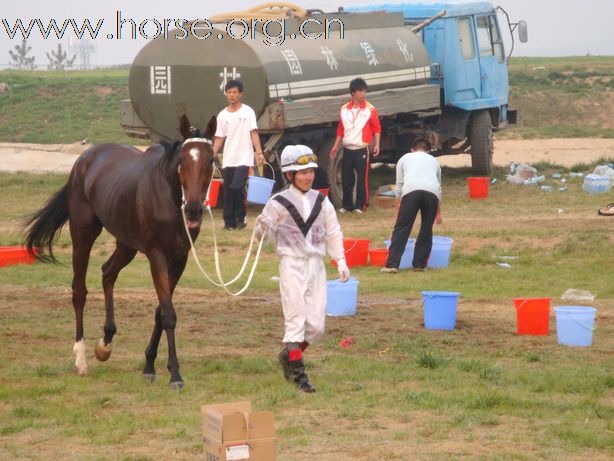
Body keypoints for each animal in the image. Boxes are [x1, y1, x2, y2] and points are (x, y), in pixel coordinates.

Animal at [25, 113, 218, 386]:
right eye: (182, 161)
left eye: (211, 160)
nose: (193, 209)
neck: (168, 198)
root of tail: (84, 158)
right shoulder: (157, 255)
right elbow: (168, 314)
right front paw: (175, 374)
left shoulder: (179, 258)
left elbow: (161, 310)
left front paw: (149, 365)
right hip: (83, 235)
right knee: (79, 291)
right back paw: (81, 358)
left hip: (126, 244)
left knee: (108, 272)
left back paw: (105, 343)